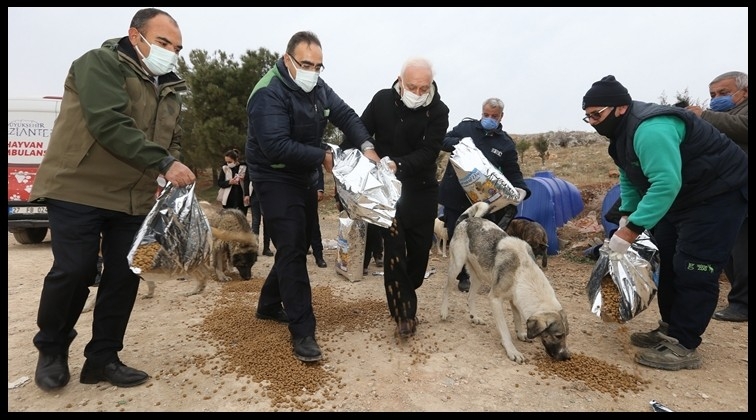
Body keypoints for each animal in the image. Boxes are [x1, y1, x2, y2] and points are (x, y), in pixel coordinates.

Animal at [440, 202, 568, 362]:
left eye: (566, 335)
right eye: (558, 336)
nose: (567, 357)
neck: (524, 271)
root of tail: (467, 220)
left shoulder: (515, 299)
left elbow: (518, 318)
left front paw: (521, 334)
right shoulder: (495, 299)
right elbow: (505, 330)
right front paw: (512, 350)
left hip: (478, 276)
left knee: (470, 297)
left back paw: (475, 317)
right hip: (456, 266)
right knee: (446, 289)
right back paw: (444, 312)